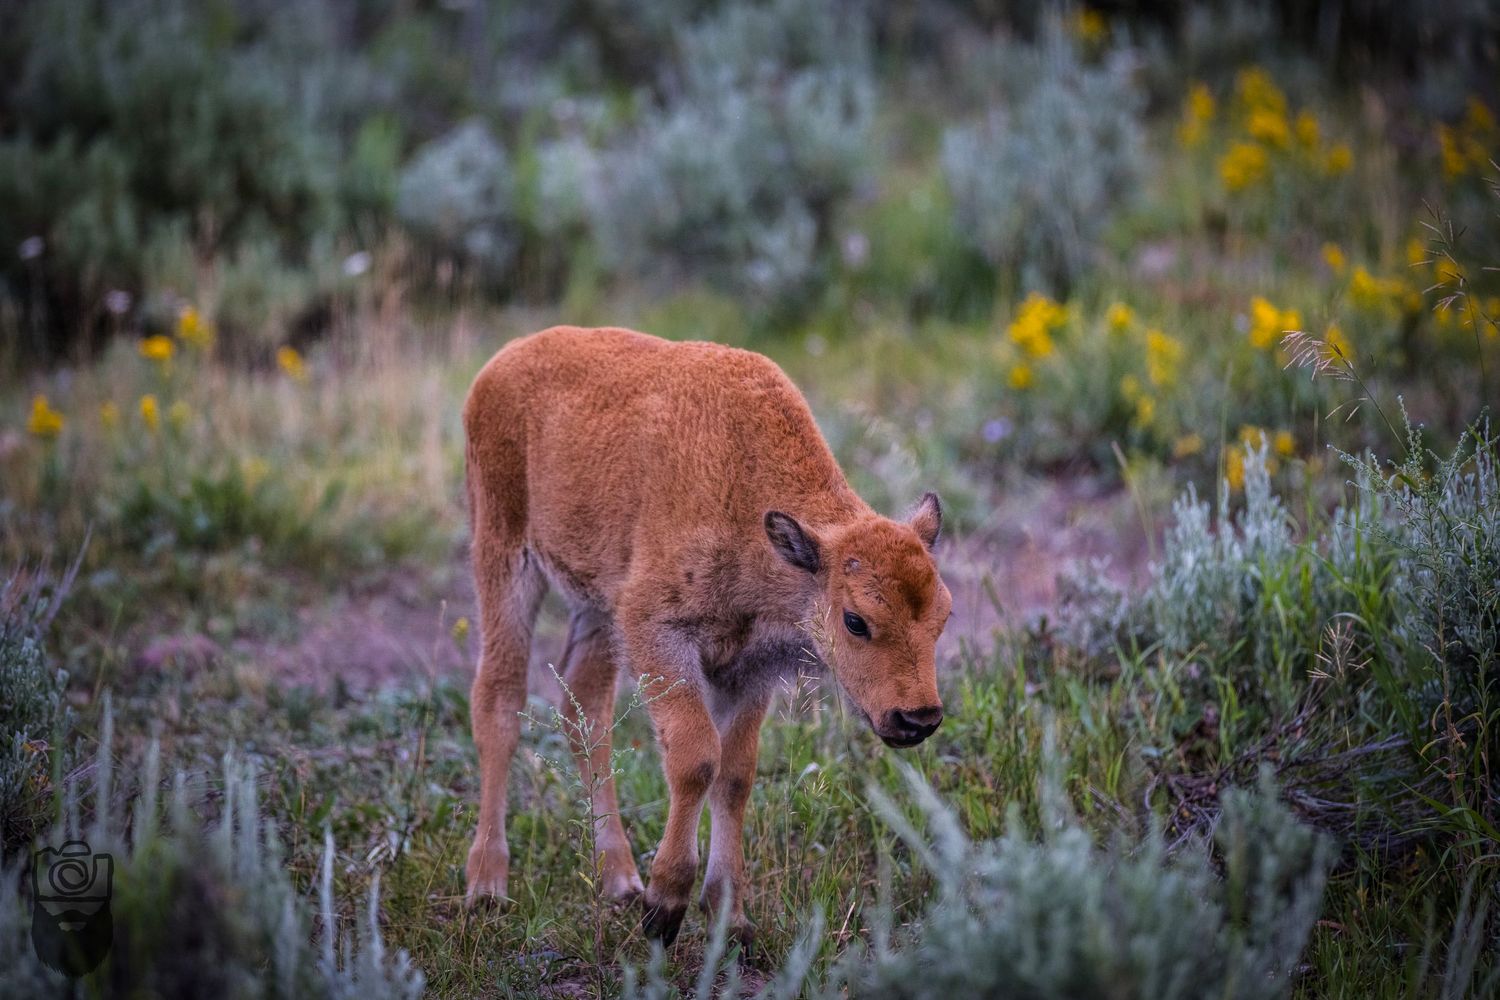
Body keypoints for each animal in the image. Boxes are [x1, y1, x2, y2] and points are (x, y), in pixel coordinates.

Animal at [462, 325, 951, 946]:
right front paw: (664, 906)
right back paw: (487, 886)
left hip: (596, 606)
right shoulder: (659, 633)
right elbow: (697, 759)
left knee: (585, 713)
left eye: (944, 616)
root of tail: (503, 362)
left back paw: (619, 880)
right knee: (498, 703)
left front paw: (729, 915)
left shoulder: (749, 669)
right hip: (505, 556)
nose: (919, 719)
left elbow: (735, 775)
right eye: (856, 620)